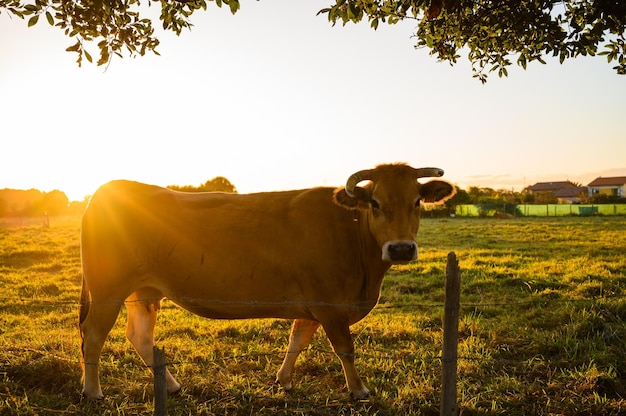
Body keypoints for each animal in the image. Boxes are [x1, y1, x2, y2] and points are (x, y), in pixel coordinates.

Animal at [79, 162, 454, 400]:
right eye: (375, 202)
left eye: (417, 201)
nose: (401, 248)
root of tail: (108, 190)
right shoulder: (331, 306)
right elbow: (345, 349)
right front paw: (359, 390)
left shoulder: (313, 306)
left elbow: (297, 341)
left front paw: (284, 380)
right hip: (108, 289)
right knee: (93, 336)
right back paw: (93, 391)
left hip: (143, 291)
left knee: (139, 336)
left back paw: (170, 386)